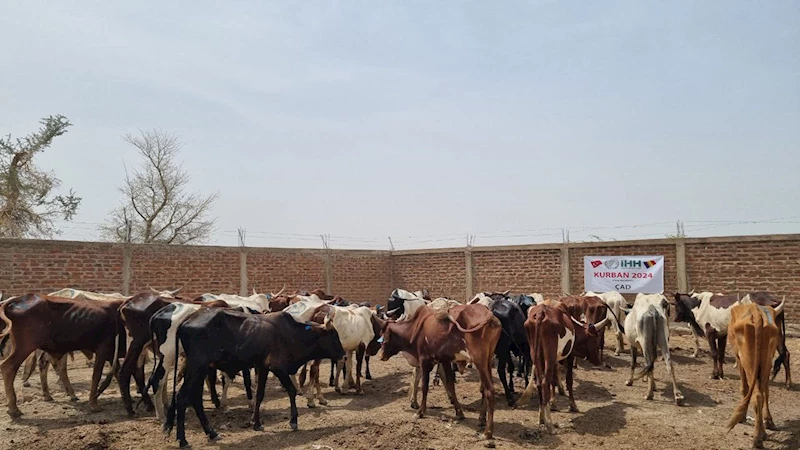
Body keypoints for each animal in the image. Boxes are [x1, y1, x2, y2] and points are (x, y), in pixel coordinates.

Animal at [164, 310, 346, 446]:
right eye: (333, 335)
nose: (344, 355)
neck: (293, 334)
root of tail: (187, 319)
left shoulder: (263, 367)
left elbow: (259, 395)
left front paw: (256, 423)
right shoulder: (278, 368)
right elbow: (291, 391)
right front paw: (294, 421)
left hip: (200, 369)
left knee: (195, 398)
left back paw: (212, 433)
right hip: (198, 367)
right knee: (182, 397)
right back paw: (183, 440)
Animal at [380, 302, 500, 440]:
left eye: (384, 334)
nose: (381, 355)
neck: (416, 327)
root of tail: (489, 314)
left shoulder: (425, 361)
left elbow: (425, 387)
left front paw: (420, 412)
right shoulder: (445, 360)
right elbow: (450, 385)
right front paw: (459, 413)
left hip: (479, 361)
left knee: (489, 390)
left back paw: (487, 432)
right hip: (487, 361)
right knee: (485, 389)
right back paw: (481, 419)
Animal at [512, 302, 608, 432]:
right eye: (595, 339)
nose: (599, 361)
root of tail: (541, 312)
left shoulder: (553, 361)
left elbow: (554, 380)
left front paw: (553, 403)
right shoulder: (569, 356)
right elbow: (568, 380)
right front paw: (572, 405)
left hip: (536, 355)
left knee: (539, 383)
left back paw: (541, 418)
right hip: (549, 355)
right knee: (544, 383)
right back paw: (550, 424)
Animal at [728, 298, 784, 448]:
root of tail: (756, 311)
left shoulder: (739, 359)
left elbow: (744, 388)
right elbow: (765, 391)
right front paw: (768, 421)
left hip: (748, 362)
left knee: (755, 395)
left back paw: (757, 439)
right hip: (766, 362)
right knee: (761, 393)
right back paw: (762, 433)